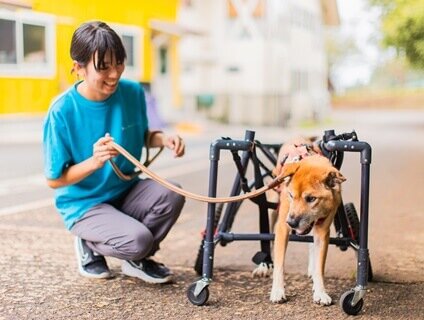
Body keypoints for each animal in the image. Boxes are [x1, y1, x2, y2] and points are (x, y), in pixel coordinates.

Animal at [268, 137, 348, 304]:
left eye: (311, 199)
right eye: (291, 195)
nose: (291, 223)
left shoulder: (322, 232)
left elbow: (319, 266)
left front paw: (320, 292)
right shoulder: (282, 227)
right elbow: (280, 264)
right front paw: (277, 291)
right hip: (273, 209)